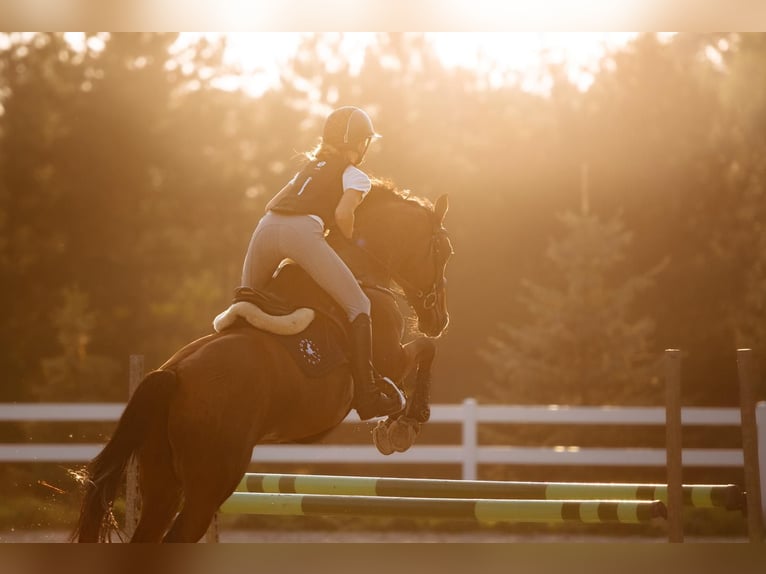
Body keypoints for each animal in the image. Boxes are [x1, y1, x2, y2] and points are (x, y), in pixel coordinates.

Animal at [70, 180, 450, 544]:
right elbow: (426, 350)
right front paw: (404, 424)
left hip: (164, 482)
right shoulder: (392, 359)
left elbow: (423, 355)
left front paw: (397, 424)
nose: (440, 320)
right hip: (212, 482)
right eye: (445, 252)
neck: (361, 269)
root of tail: (172, 375)